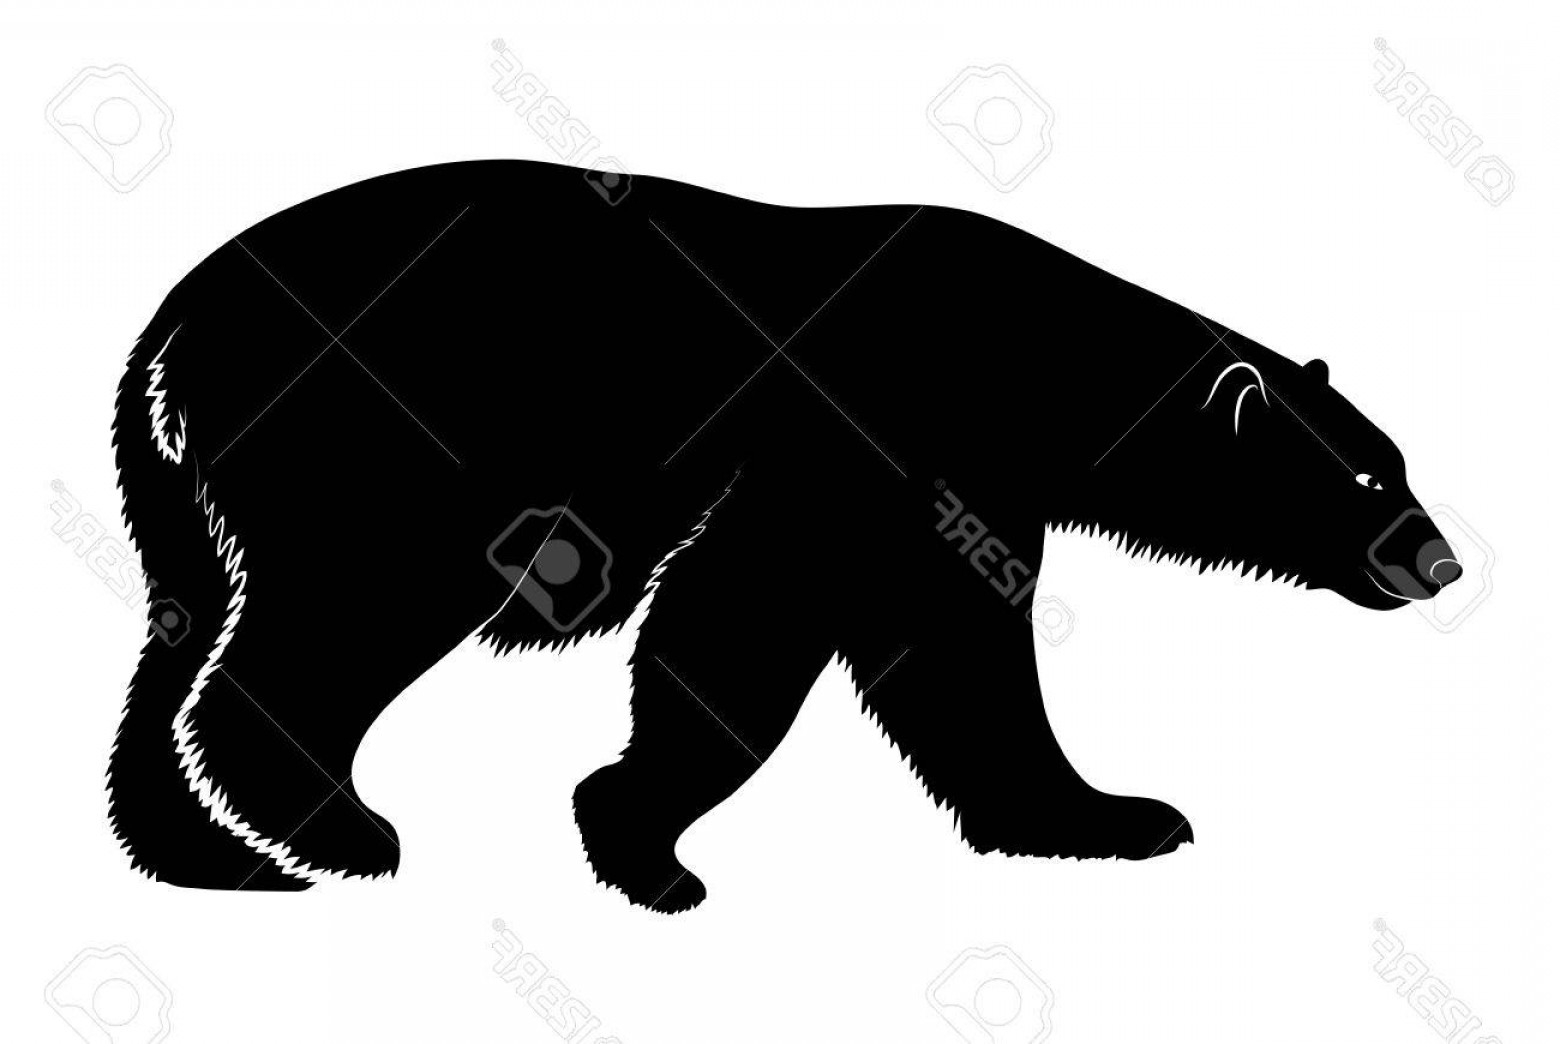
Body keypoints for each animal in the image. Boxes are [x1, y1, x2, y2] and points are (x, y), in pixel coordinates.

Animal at [108, 159, 1462, 910]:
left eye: (1399, 460)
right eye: (1362, 473)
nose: (1438, 559)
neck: (1032, 365)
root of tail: (171, 328)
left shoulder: (964, 490)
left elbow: (950, 654)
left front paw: (1104, 816)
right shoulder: (863, 436)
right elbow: (750, 616)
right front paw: (643, 843)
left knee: (181, 639)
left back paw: (207, 850)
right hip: (387, 437)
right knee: (335, 622)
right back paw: (335, 827)